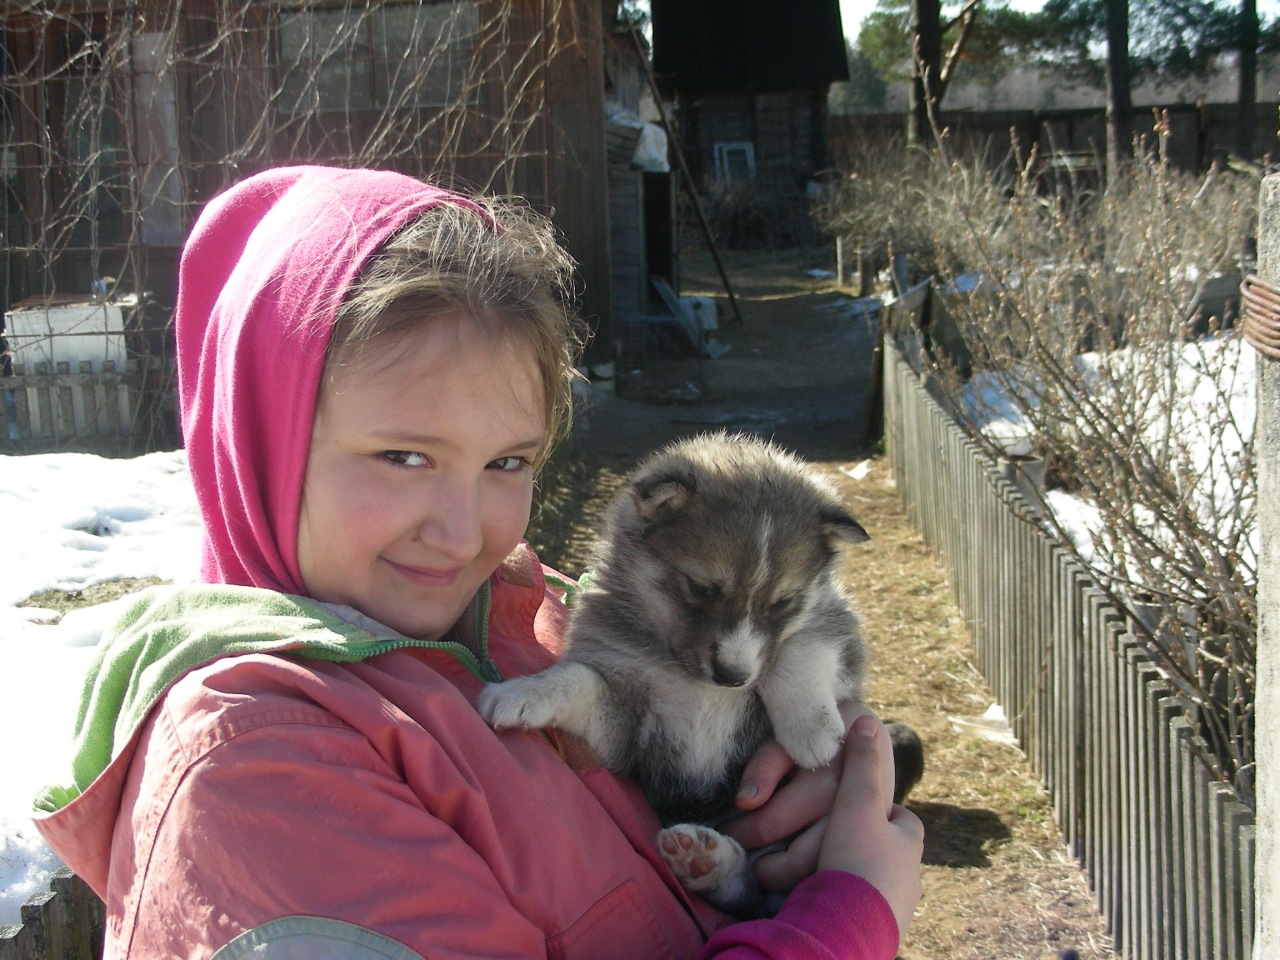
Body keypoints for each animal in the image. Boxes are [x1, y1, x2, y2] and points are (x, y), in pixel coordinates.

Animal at [478, 432, 871, 916]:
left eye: (783, 603)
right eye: (702, 588)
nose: (733, 676)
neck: (692, 679)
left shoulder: (837, 630)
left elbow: (799, 648)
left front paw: (810, 731)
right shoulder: (627, 729)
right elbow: (579, 680)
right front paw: (523, 693)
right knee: (743, 882)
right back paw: (703, 859)